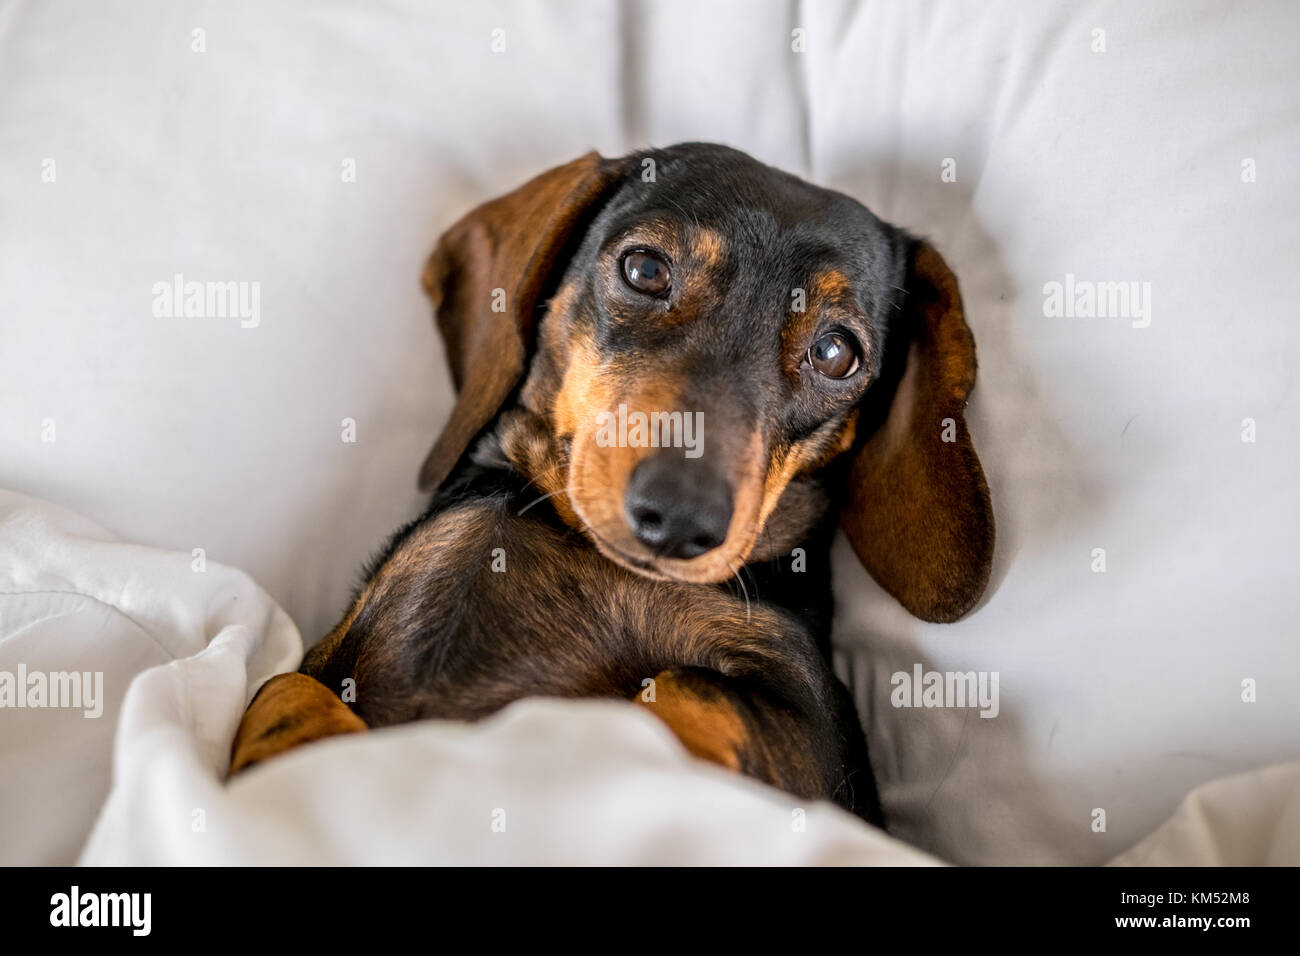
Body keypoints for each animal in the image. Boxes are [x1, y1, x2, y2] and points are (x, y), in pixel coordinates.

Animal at [226, 140, 993, 822]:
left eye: (837, 353)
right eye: (645, 268)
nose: (680, 518)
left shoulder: (826, 751)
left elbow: (688, 686)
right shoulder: (323, 659)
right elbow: (284, 688)